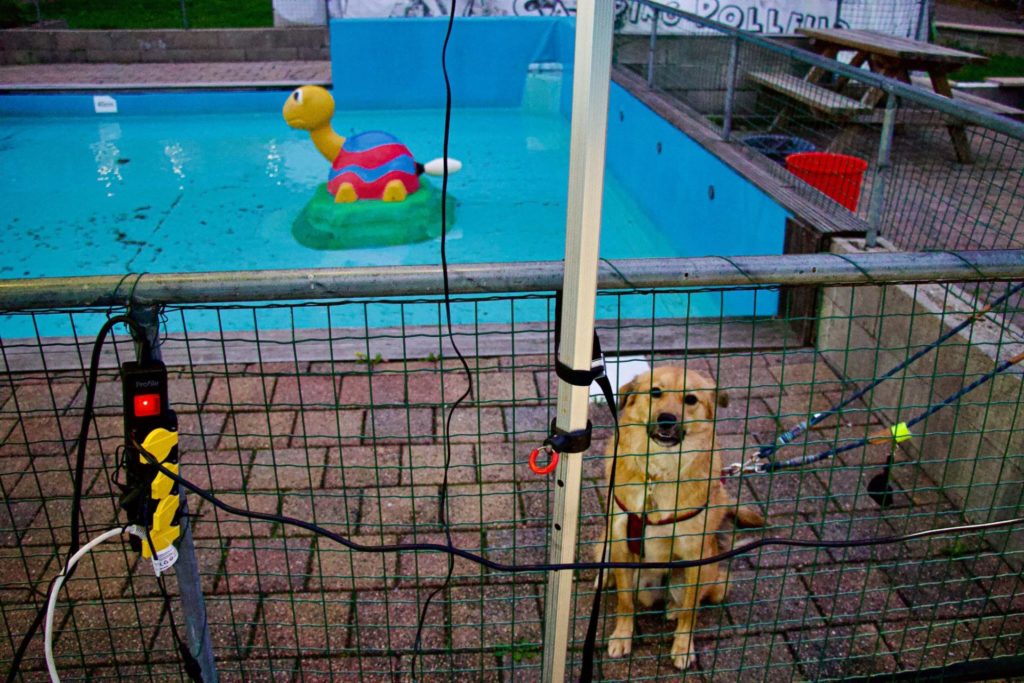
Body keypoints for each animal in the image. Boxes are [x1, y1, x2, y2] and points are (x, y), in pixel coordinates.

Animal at [594, 364, 765, 669]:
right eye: (655, 392)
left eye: (691, 399)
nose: (666, 420)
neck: (659, 474)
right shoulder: (622, 544)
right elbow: (625, 602)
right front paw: (622, 636)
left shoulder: (695, 557)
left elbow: (690, 611)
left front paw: (683, 646)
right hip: (607, 542)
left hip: (713, 577)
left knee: (691, 600)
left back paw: (673, 608)